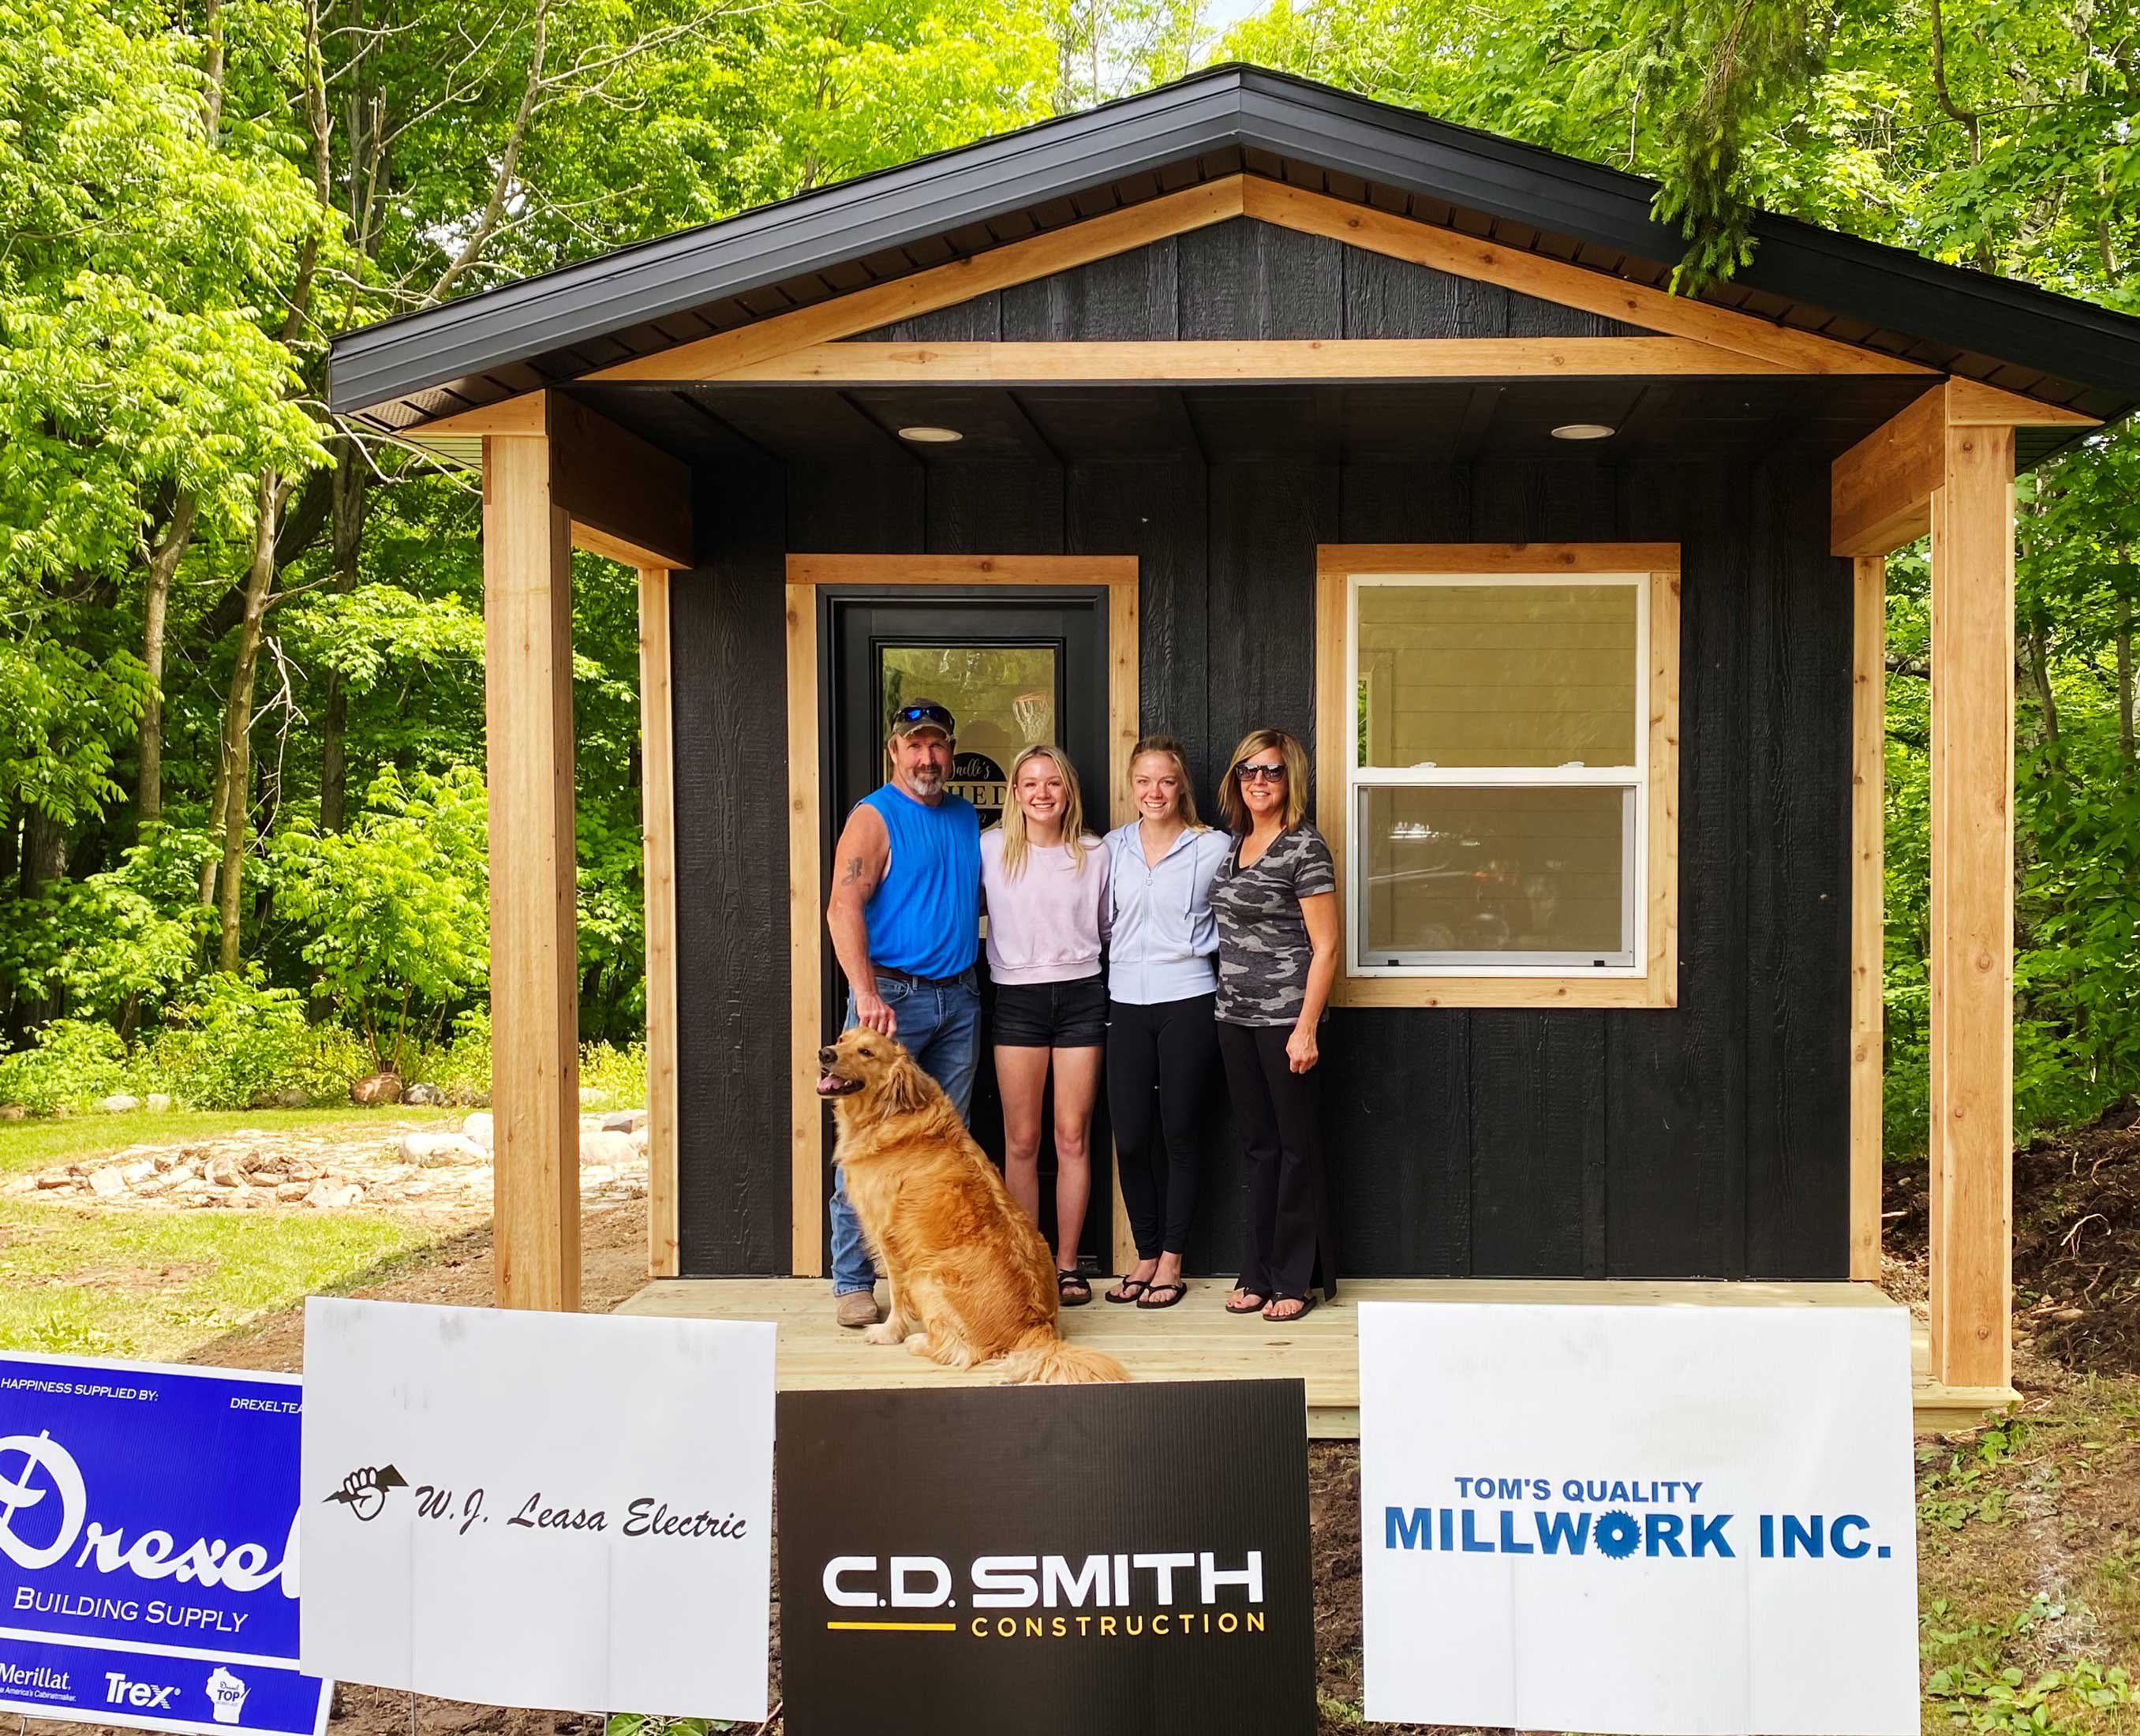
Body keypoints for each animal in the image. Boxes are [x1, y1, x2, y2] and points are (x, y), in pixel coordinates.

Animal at [809, 1031, 1129, 1386]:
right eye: (842, 1039)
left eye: (866, 1052)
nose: (825, 1053)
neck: (890, 1113)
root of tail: (1036, 1328)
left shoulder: (890, 1238)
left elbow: (896, 1294)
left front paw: (888, 1332)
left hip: (926, 1273)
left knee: (962, 1350)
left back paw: (918, 1340)